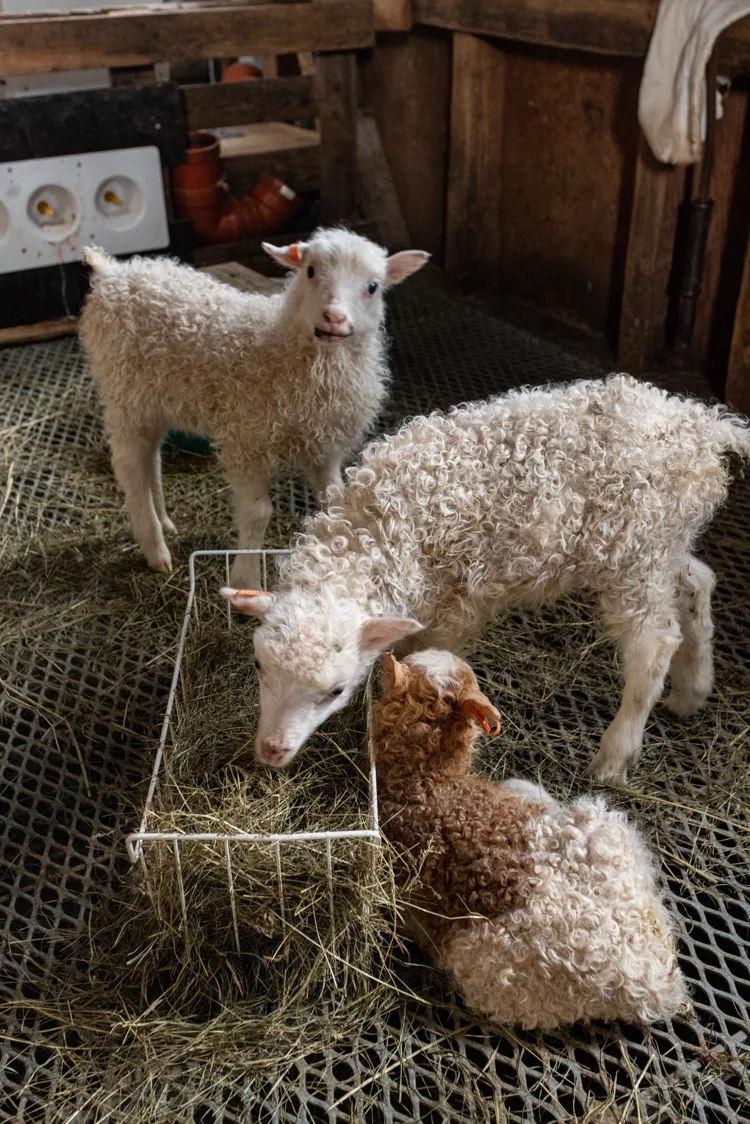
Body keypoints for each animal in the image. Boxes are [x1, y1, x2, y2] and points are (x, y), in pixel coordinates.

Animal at [79, 228, 429, 586]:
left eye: (373, 287)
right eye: (310, 271)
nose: (334, 317)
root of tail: (113, 272)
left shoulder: (324, 444)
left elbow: (333, 498)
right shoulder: (249, 443)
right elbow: (258, 513)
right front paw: (245, 579)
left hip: (152, 402)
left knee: (151, 458)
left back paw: (164, 522)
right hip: (123, 393)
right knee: (129, 465)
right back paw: (155, 548)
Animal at [220, 373, 750, 781]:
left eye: (335, 691)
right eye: (258, 667)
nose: (271, 751)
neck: (379, 526)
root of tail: (701, 424)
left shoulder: (456, 605)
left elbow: (426, 663)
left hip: (636, 551)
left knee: (653, 643)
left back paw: (614, 756)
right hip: (663, 545)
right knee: (698, 583)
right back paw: (692, 690)